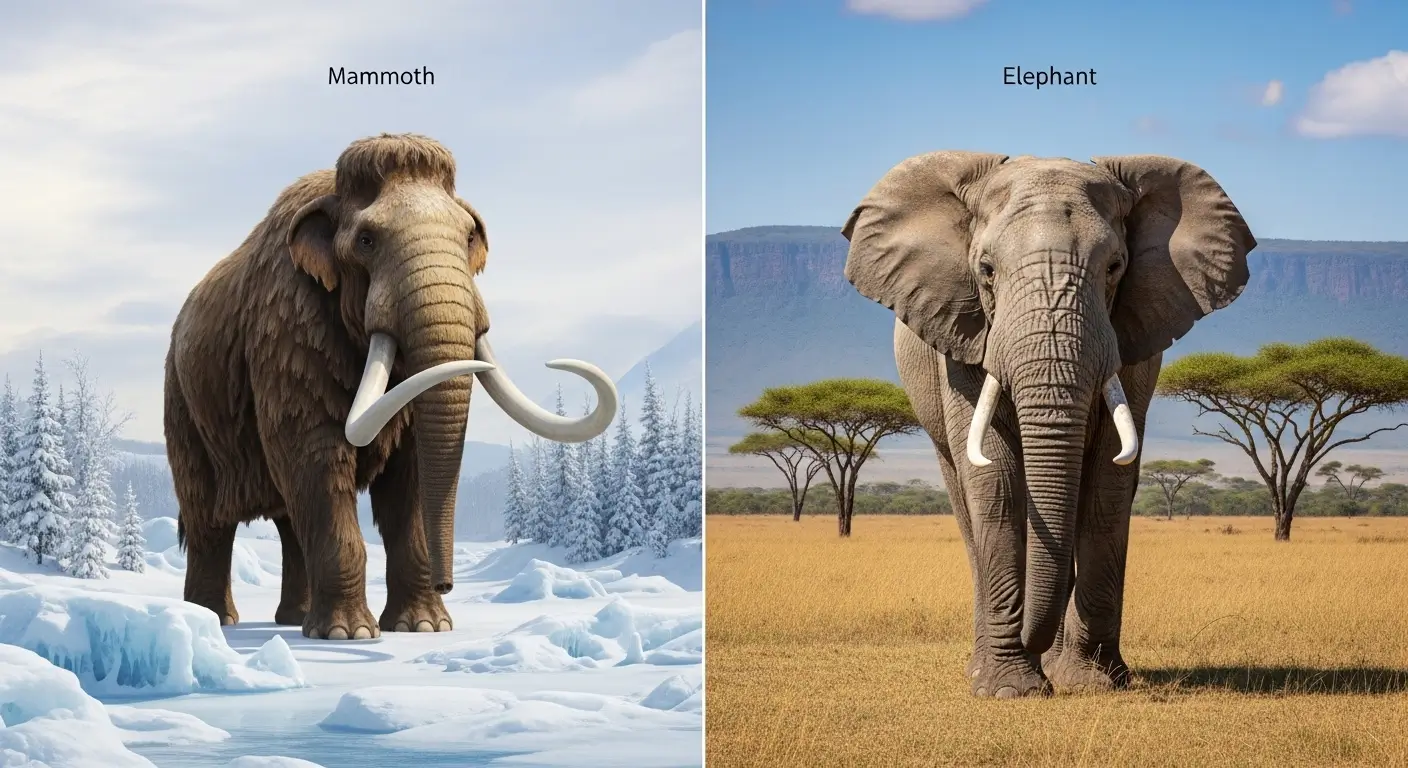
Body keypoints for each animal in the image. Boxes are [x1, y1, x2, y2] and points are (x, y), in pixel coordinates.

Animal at [164, 133, 617, 640]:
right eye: (366, 241)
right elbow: (315, 455)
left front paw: (423, 627)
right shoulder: (287, 335)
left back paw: (295, 620)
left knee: (287, 521)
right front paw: (349, 634)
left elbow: (410, 468)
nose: (447, 584)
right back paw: (215, 619)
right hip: (182, 407)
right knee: (208, 519)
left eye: (469, 236)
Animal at [841, 152, 1255, 697]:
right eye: (986, 270)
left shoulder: (1134, 336)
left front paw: (1092, 683)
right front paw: (1007, 689)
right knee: (966, 500)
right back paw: (989, 667)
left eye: (1114, 268)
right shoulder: (961, 333)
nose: (1027, 636)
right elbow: (994, 477)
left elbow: (1109, 478)